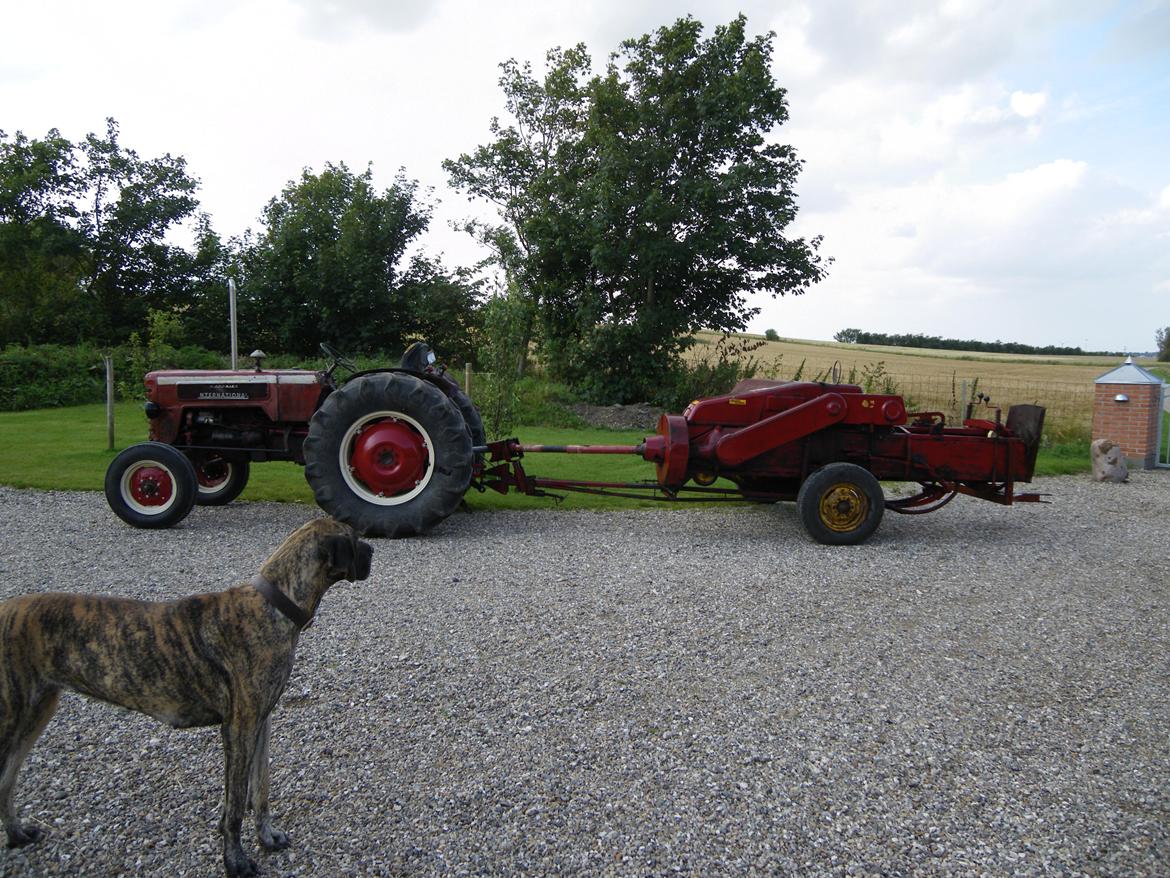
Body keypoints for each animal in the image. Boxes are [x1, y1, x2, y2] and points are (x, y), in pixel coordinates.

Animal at [0, 519, 369, 875]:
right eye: (353, 539)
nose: (373, 551)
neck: (271, 604)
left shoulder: (260, 722)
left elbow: (260, 788)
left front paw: (266, 836)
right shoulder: (239, 728)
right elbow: (236, 804)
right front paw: (235, 861)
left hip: (38, 710)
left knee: (7, 780)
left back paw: (17, 835)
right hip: (13, 716)